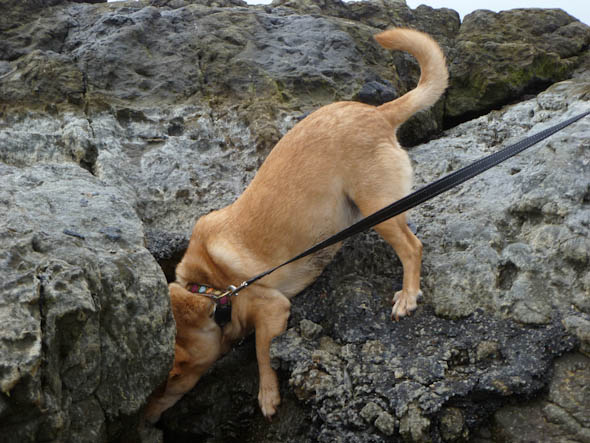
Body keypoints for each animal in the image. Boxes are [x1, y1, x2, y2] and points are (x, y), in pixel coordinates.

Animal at [145, 27, 448, 424]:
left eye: (176, 374)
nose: (144, 418)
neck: (211, 287)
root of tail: (377, 113)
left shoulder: (272, 308)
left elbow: (261, 349)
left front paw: (267, 394)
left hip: (377, 209)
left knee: (412, 248)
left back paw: (408, 295)